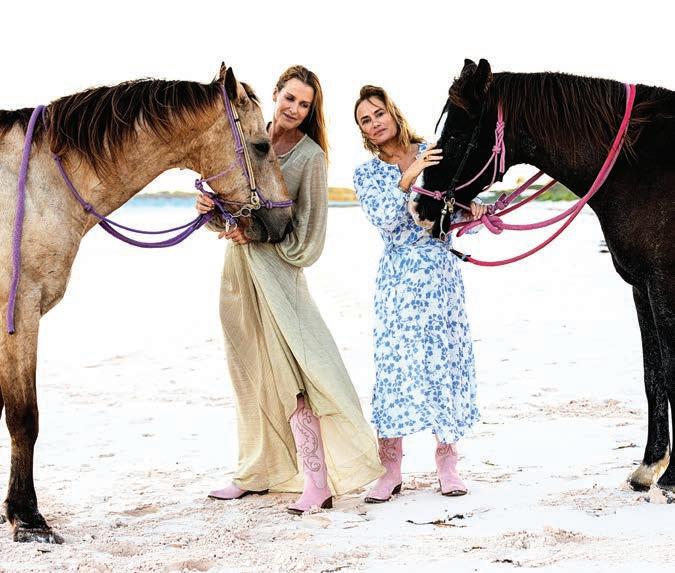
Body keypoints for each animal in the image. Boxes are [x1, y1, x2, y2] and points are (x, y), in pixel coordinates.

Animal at [0, 64, 292, 543]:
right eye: (262, 145)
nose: (284, 221)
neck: (37, 186)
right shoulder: (20, 312)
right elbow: (24, 417)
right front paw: (27, 517)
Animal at [413, 59, 675, 493]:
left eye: (455, 134)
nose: (419, 208)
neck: (639, 165)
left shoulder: (663, 285)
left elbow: (670, 373)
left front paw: (669, 476)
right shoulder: (642, 288)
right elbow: (652, 376)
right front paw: (650, 466)